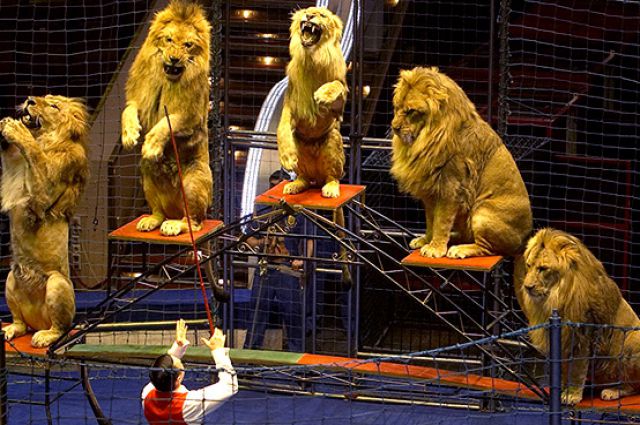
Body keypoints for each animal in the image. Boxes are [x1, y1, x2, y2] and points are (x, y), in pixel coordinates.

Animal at [0, 95, 89, 347]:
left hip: (57, 283)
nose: (29, 100)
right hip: (11, 277)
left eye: (53, 106)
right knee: (20, 322)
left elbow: (36, 156)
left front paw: (15, 129)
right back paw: (11, 329)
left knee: (62, 327)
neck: (45, 138)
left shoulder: (43, 196)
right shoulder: (16, 172)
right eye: (43, 97)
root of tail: (37, 322)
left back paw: (45, 336)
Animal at [121, 0, 212, 236]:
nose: (174, 58)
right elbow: (128, 112)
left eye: (188, 45)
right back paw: (151, 220)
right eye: (169, 39)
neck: (167, 79)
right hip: (147, 177)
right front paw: (129, 135)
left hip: (193, 181)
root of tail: (174, 210)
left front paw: (151, 146)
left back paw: (174, 225)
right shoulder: (139, 99)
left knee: (193, 221)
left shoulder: (191, 114)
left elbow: (166, 123)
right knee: (159, 212)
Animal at [277, 6, 347, 198]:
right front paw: (287, 157)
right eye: (306, 11)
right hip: (300, 149)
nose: (308, 16)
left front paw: (323, 94)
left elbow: (336, 84)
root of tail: (317, 178)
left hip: (333, 140)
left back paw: (331, 188)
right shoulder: (290, 103)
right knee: (304, 178)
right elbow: (282, 128)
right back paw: (295, 185)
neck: (312, 59)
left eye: (322, 15)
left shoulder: (339, 108)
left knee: (333, 177)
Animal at [390, 67, 532, 258]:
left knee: (487, 248)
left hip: (482, 212)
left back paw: (459, 249)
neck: (425, 139)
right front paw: (426, 240)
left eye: (411, 111)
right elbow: (431, 220)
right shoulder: (430, 190)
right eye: (396, 107)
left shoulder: (451, 187)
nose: (394, 127)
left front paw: (435, 248)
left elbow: (441, 222)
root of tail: (525, 242)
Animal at [516, 228, 640, 404]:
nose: (527, 287)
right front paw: (559, 389)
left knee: (633, 386)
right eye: (528, 265)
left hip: (631, 341)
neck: (556, 296)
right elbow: (561, 367)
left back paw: (613, 390)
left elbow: (577, 368)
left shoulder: (583, 334)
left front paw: (572, 394)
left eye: (543, 268)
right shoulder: (559, 336)